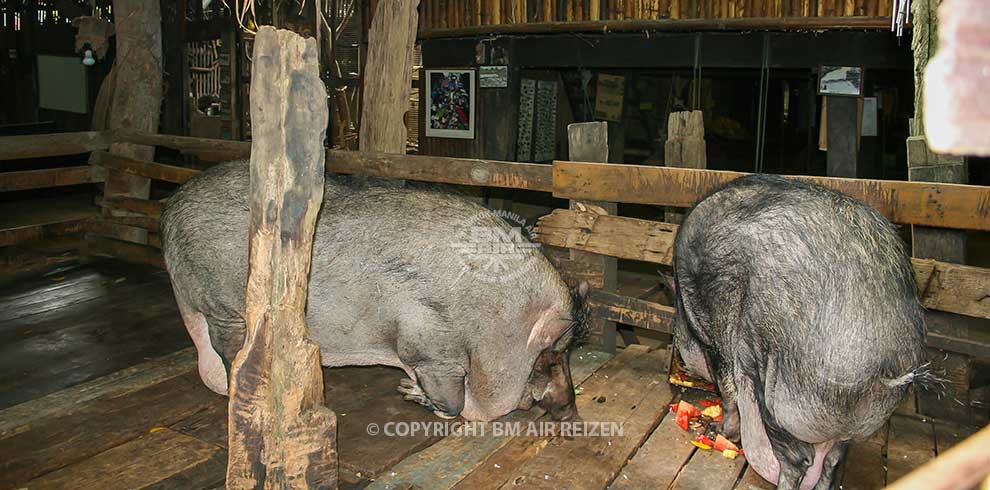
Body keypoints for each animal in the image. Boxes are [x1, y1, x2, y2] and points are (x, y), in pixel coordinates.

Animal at [159, 161, 584, 422]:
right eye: (552, 355)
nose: (572, 411)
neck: (492, 325)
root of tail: (172, 208)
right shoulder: (427, 341)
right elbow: (452, 399)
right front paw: (407, 390)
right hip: (222, 303)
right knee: (231, 352)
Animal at [676, 176, 928, 490]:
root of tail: (881, 366)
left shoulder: (711, 335)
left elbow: (727, 389)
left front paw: (718, 430)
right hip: (850, 425)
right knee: (832, 460)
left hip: (775, 392)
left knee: (797, 460)